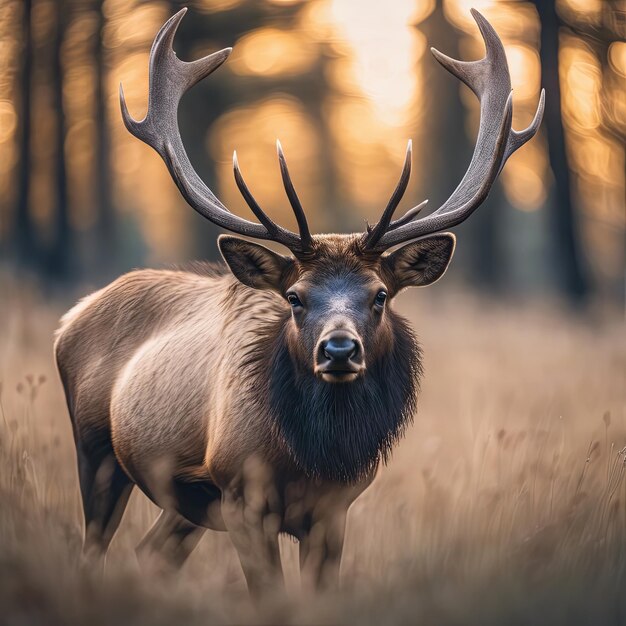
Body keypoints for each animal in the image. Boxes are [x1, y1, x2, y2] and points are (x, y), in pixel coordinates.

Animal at [53, 9, 540, 596]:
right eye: (294, 297)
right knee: (93, 550)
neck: (309, 460)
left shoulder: (336, 510)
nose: (338, 350)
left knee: (150, 553)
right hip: (96, 452)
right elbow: (270, 598)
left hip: (183, 502)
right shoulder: (241, 497)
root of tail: (70, 316)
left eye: (380, 295)